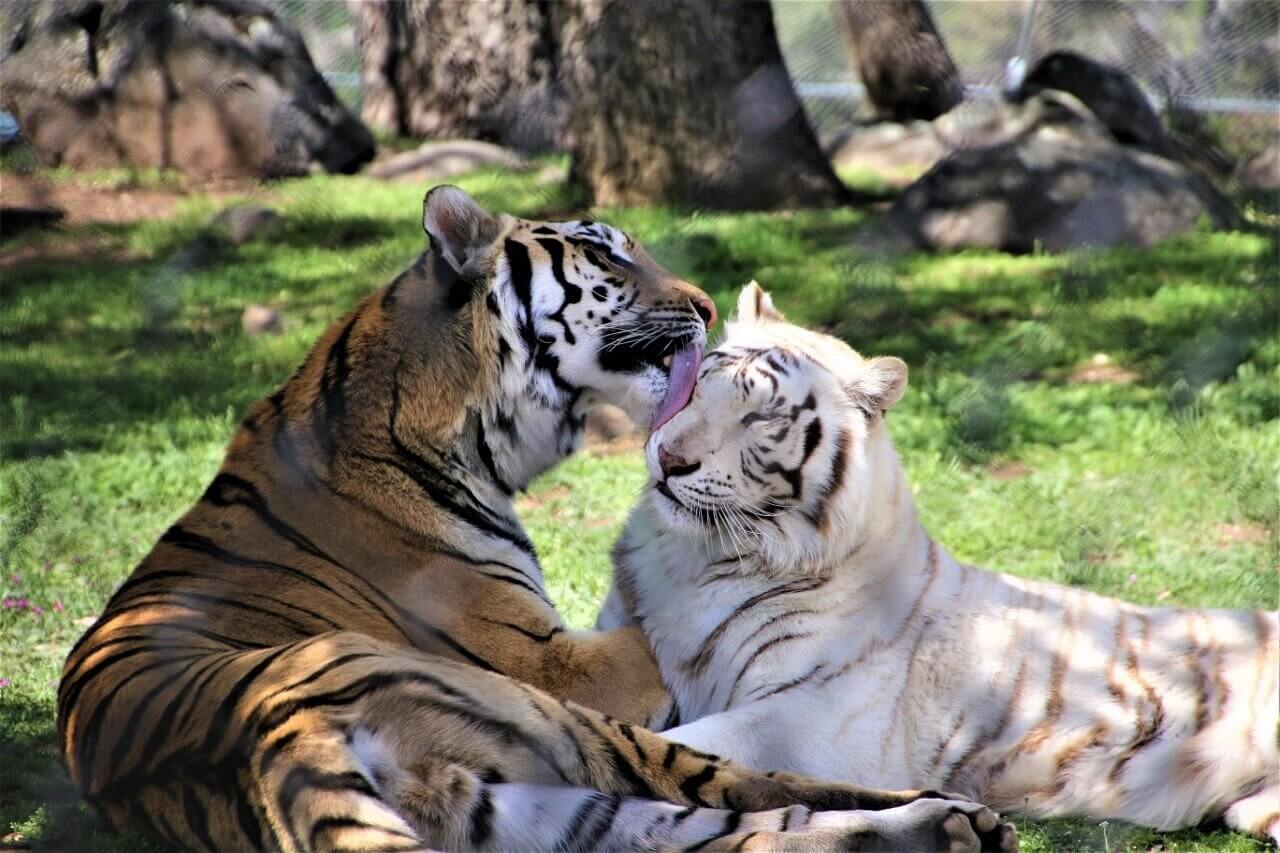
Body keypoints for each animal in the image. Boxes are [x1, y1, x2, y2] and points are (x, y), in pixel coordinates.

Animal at [57, 187, 1016, 852]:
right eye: (607, 255)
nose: (708, 306)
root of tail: (280, 731)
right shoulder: (564, 661)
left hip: (549, 808)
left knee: (754, 829)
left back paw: (948, 828)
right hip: (568, 726)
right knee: (764, 786)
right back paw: (957, 815)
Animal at [602, 281, 1280, 844]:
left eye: (761, 415)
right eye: (698, 384)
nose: (670, 457)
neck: (695, 558)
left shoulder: (807, 719)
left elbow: (672, 746)